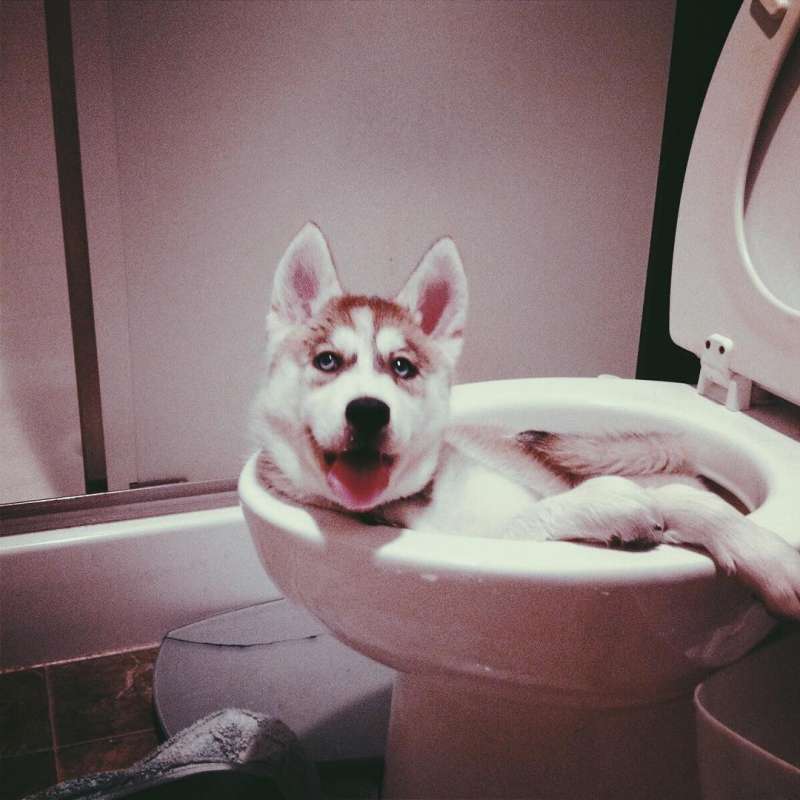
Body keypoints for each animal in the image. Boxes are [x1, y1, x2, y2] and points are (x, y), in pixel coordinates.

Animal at [252, 223, 800, 620]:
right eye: (326, 361)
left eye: (402, 367)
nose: (368, 410)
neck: (422, 497)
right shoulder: (478, 555)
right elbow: (528, 520)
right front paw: (604, 503)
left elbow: (686, 503)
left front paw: (773, 559)